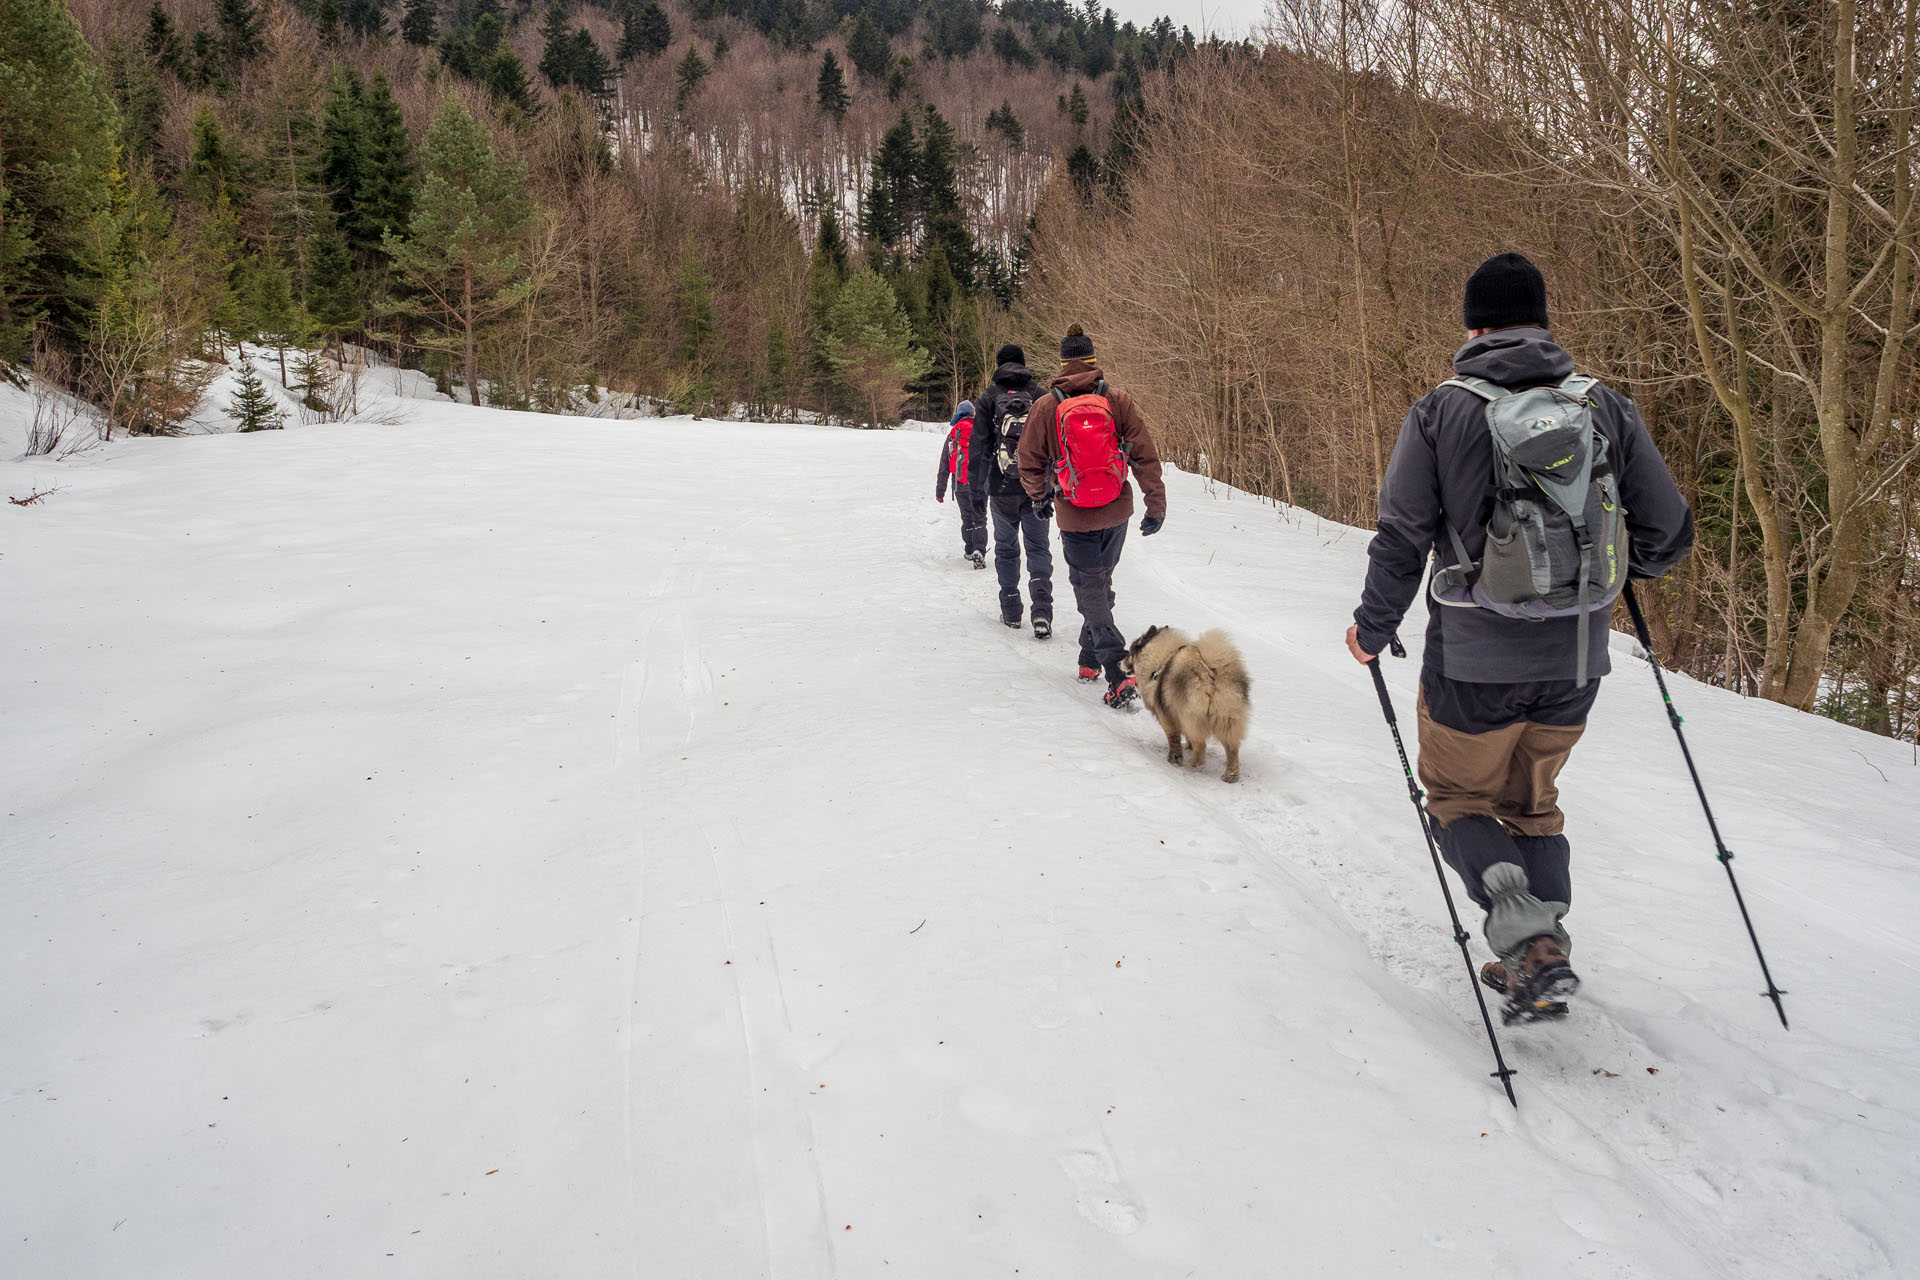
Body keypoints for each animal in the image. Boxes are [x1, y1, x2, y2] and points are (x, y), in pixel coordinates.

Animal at [1121, 629, 1251, 782]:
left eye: (1130, 653)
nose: (1118, 662)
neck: (1161, 661)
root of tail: (1209, 673)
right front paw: (1187, 748)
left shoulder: (1166, 717)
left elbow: (1173, 739)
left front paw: (1174, 759)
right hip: (1226, 717)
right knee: (1232, 748)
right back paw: (1231, 775)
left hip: (1191, 717)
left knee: (1201, 745)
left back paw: (1194, 764)